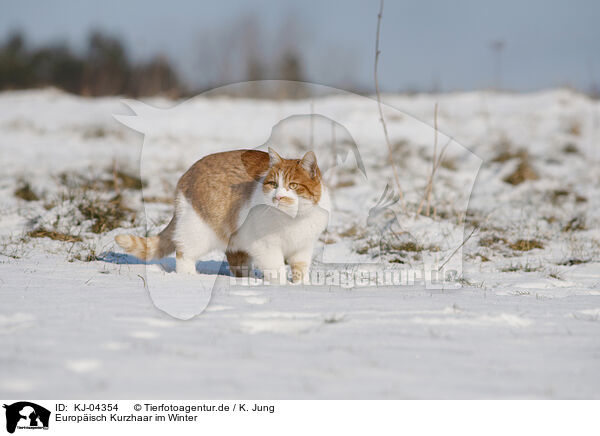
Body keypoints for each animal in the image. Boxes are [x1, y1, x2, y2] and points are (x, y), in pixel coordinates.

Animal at [115, 146, 330, 282]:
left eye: (293, 185)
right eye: (273, 184)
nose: (277, 197)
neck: (293, 220)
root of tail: (186, 174)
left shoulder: (303, 248)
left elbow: (300, 270)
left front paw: (301, 287)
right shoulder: (266, 248)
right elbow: (277, 270)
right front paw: (283, 287)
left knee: (238, 264)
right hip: (198, 231)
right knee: (184, 253)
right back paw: (188, 278)